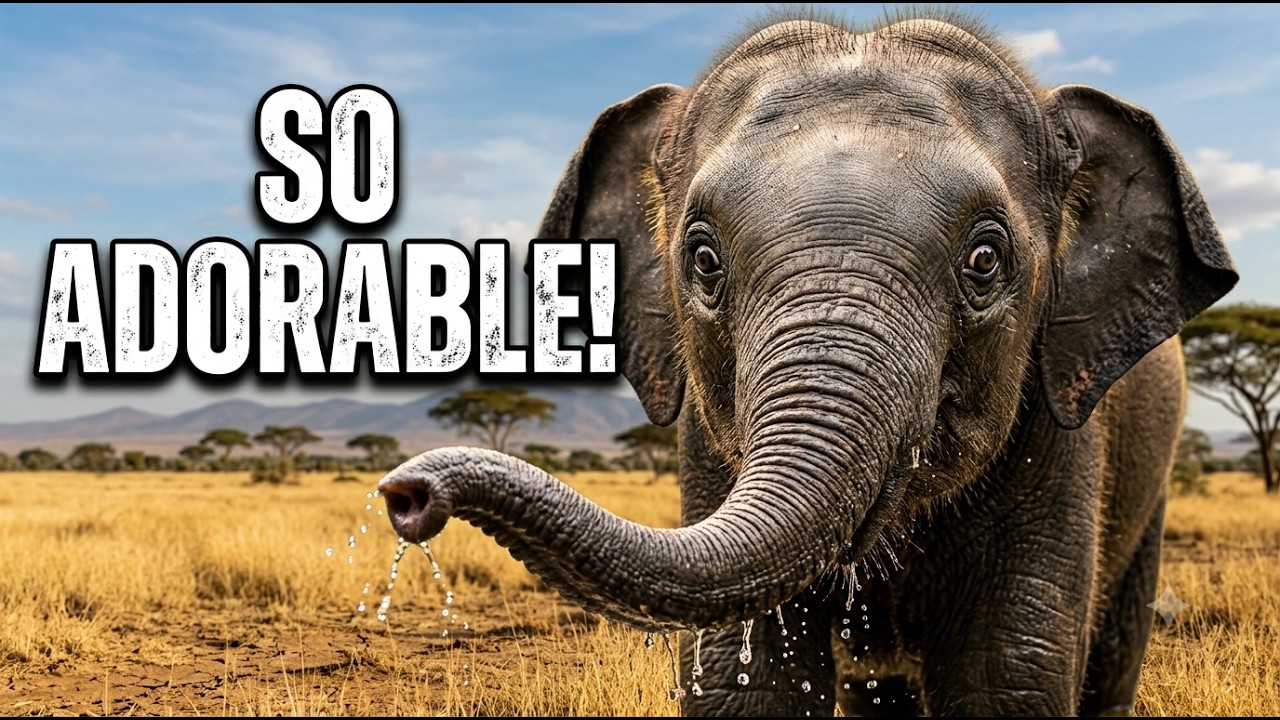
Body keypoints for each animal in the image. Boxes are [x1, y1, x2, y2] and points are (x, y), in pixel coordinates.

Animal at [378, 12, 1237, 716]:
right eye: (704, 262)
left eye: (986, 261)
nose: (406, 494)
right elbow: (749, 681)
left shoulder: (1057, 417)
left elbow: (1008, 676)